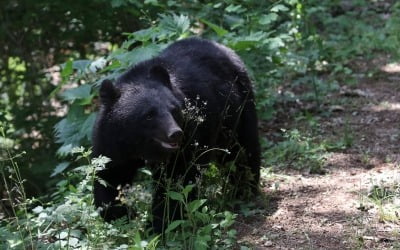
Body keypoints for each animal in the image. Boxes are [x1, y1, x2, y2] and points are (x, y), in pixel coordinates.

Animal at [93, 37, 262, 232]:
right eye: (148, 115)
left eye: (174, 110)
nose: (175, 134)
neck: (140, 146)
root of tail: (224, 48)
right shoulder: (112, 142)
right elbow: (109, 175)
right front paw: (120, 216)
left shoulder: (190, 136)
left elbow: (177, 181)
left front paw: (159, 225)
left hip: (239, 110)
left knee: (243, 150)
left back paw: (244, 189)